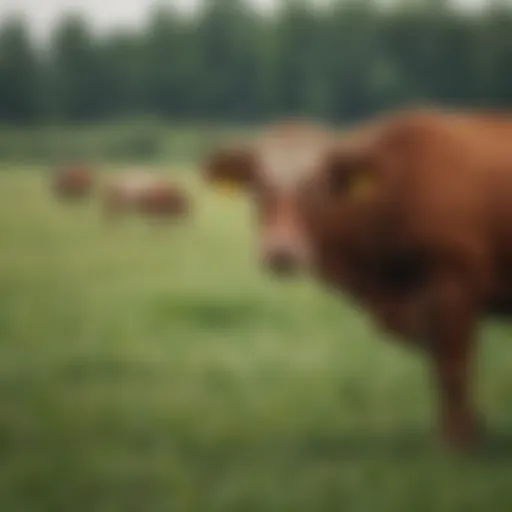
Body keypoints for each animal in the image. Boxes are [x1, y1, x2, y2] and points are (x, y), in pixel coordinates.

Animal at [202, 110, 512, 450]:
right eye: (258, 186)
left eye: (318, 185)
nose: (282, 252)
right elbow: (441, 366)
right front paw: (471, 428)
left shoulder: (453, 287)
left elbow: (452, 368)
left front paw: (458, 442)